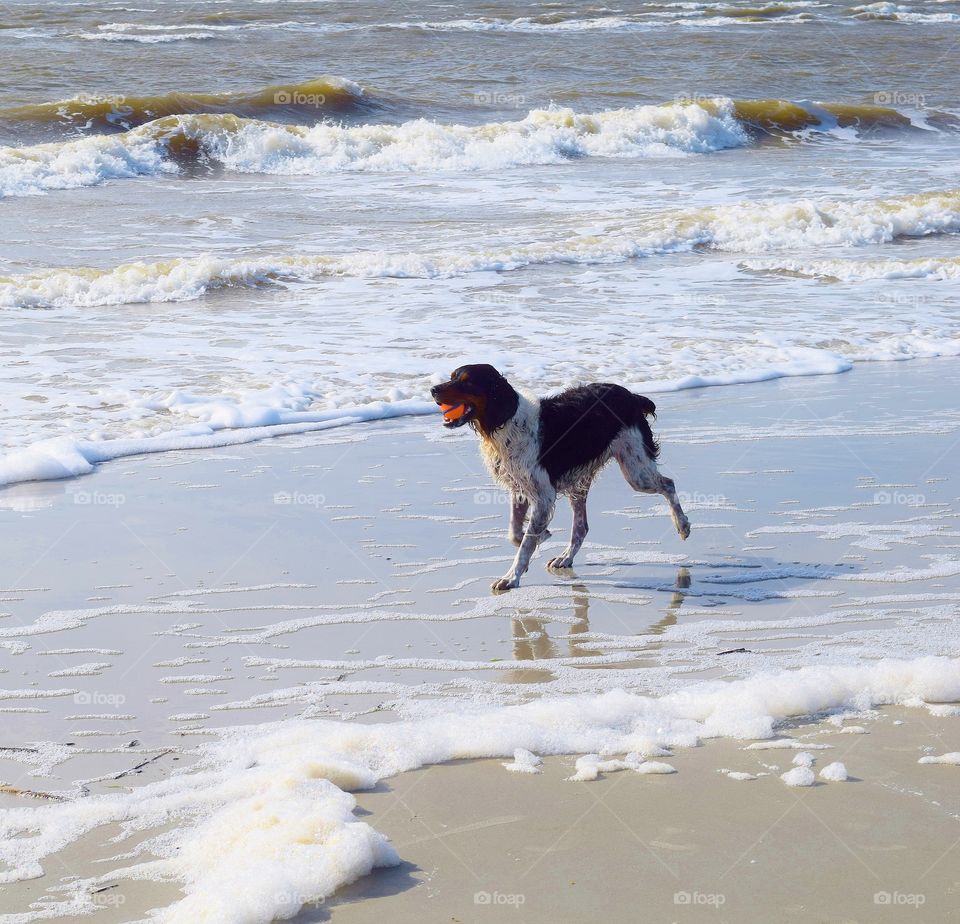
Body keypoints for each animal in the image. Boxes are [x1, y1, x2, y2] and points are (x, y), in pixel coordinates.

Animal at [430, 362, 688, 592]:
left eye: (467, 382)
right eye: (452, 376)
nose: (433, 389)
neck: (506, 422)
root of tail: (632, 396)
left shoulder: (543, 494)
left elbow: (525, 542)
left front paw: (511, 577)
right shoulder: (520, 489)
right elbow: (515, 533)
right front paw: (540, 536)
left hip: (636, 471)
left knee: (669, 484)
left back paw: (682, 525)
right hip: (582, 482)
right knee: (581, 527)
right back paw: (565, 558)